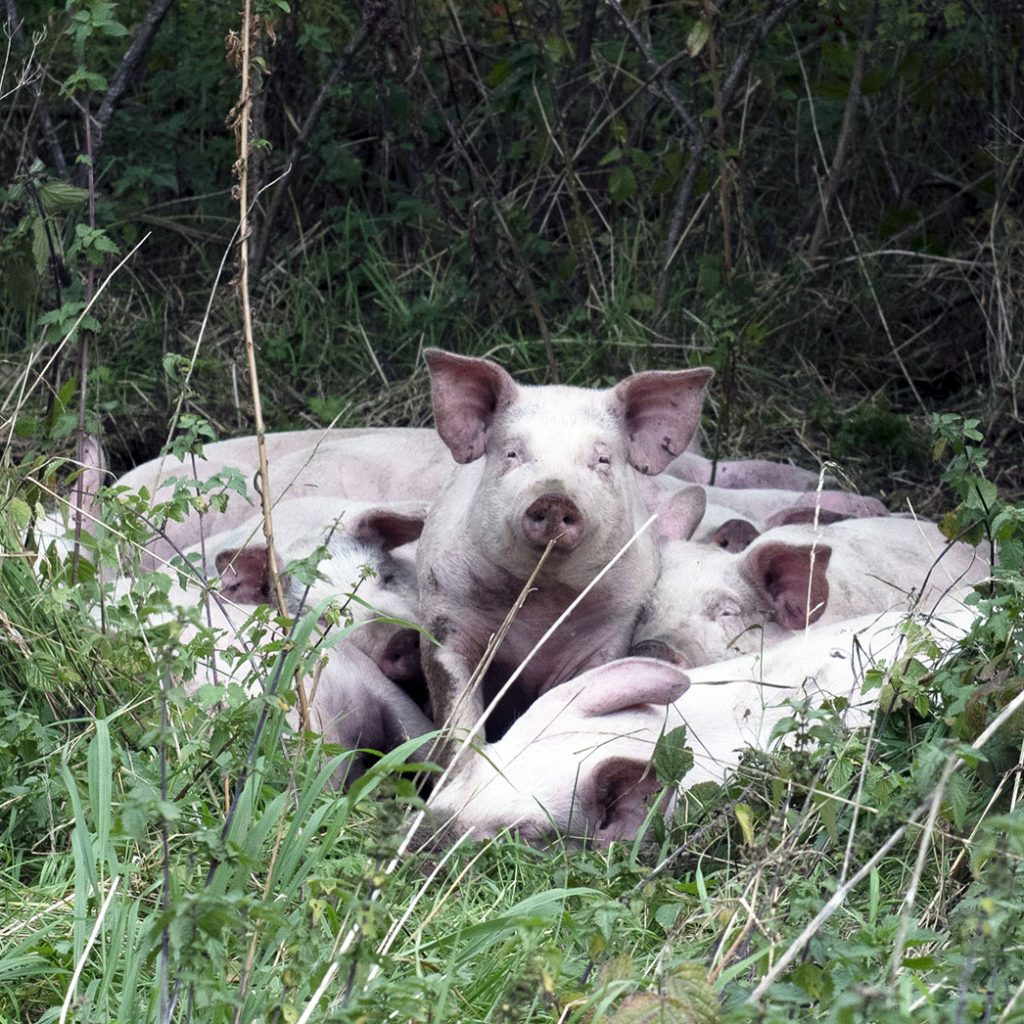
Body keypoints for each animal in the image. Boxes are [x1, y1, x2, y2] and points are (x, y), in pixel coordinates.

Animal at [413, 348, 712, 757]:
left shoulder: (610, 631)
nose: (554, 497)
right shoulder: (444, 617)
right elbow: (458, 715)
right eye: (512, 453)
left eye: (602, 460)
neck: (542, 605)